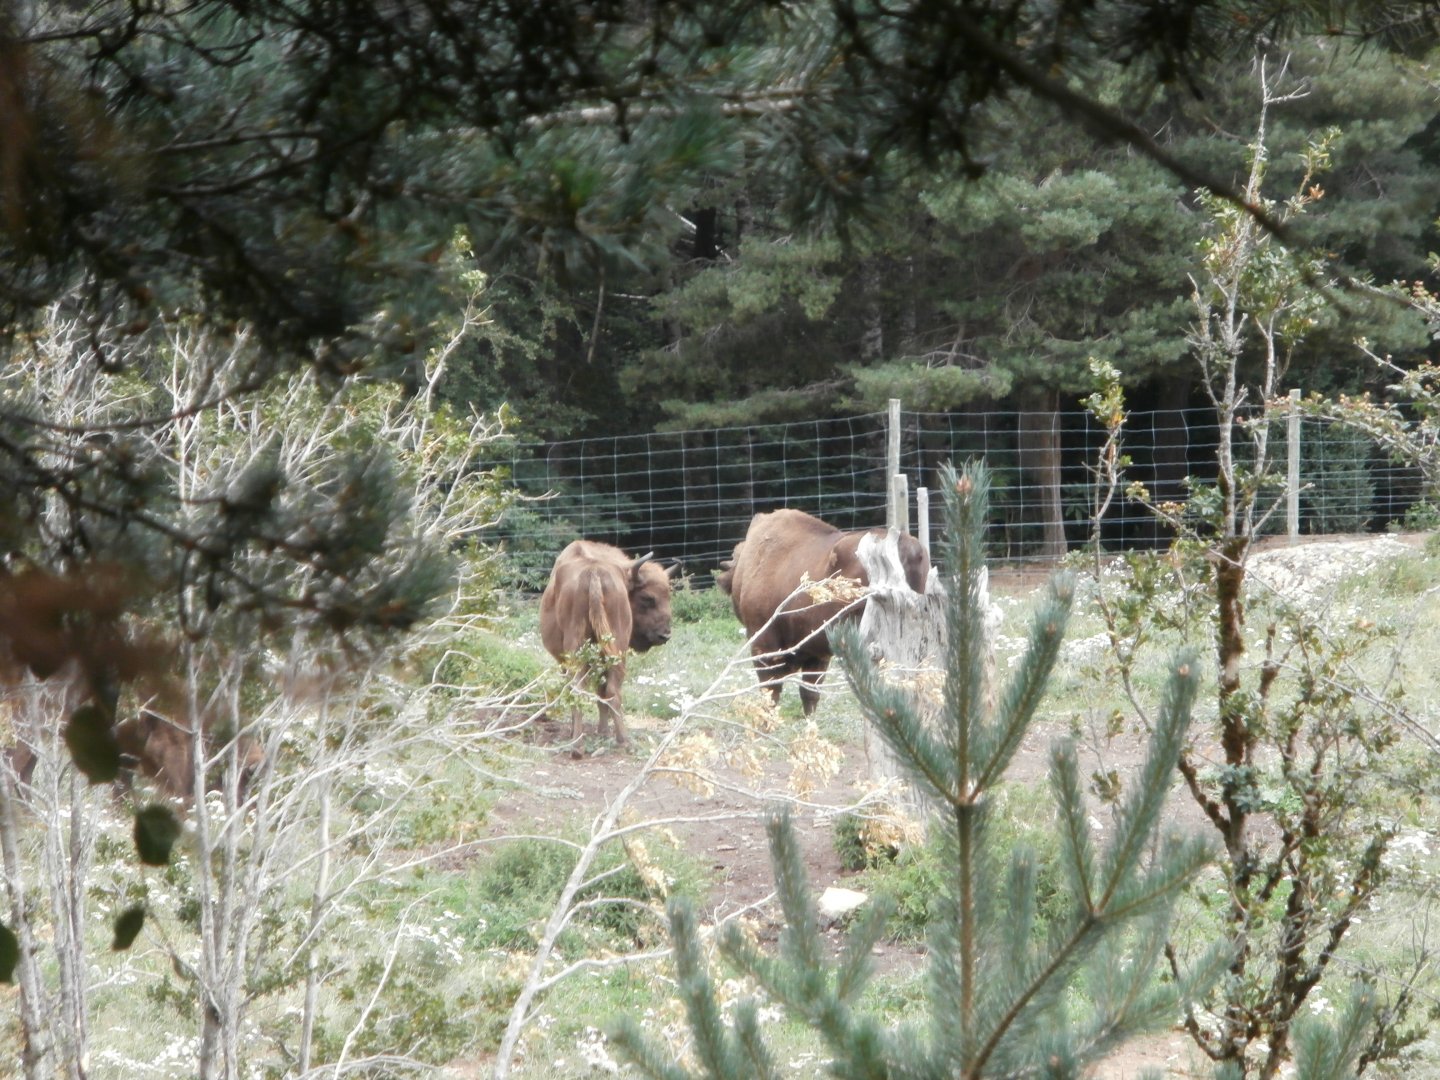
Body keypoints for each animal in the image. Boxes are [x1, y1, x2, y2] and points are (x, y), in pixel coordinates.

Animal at [540, 540, 677, 747]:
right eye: (648, 598)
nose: (664, 635)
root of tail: (594, 572)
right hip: (614, 649)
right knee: (609, 691)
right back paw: (617, 740)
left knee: (581, 688)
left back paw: (582, 743)